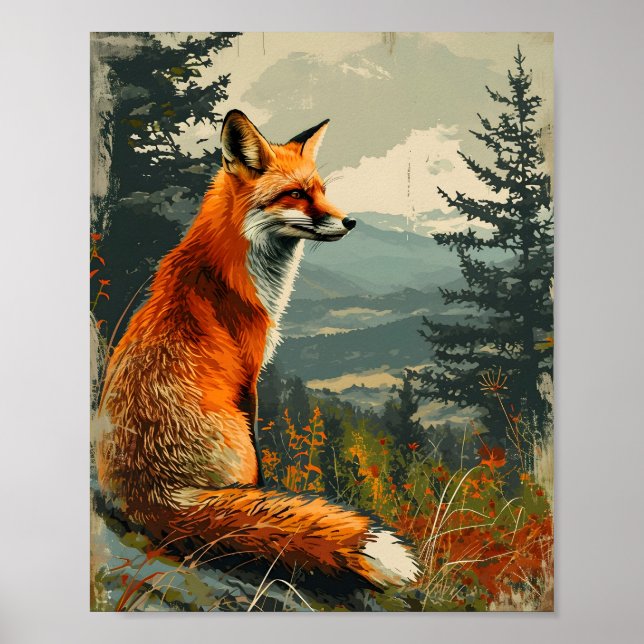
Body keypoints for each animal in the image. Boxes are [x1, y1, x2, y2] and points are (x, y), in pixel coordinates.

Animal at [96, 110, 419, 589]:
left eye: (322, 191)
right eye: (296, 194)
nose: (350, 222)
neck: (228, 269)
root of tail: (154, 500)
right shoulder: (249, 374)